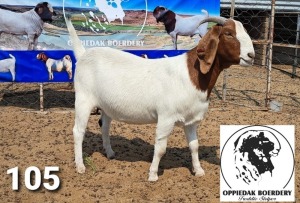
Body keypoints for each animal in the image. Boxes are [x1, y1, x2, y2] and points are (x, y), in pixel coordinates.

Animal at [64, 15, 254, 181]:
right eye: (229, 33)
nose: (251, 56)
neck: (192, 75)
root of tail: (83, 55)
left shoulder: (191, 120)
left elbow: (194, 145)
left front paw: (199, 171)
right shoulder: (166, 117)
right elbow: (161, 148)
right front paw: (153, 174)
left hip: (106, 106)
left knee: (104, 127)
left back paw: (110, 153)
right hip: (83, 100)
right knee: (78, 131)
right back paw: (80, 166)